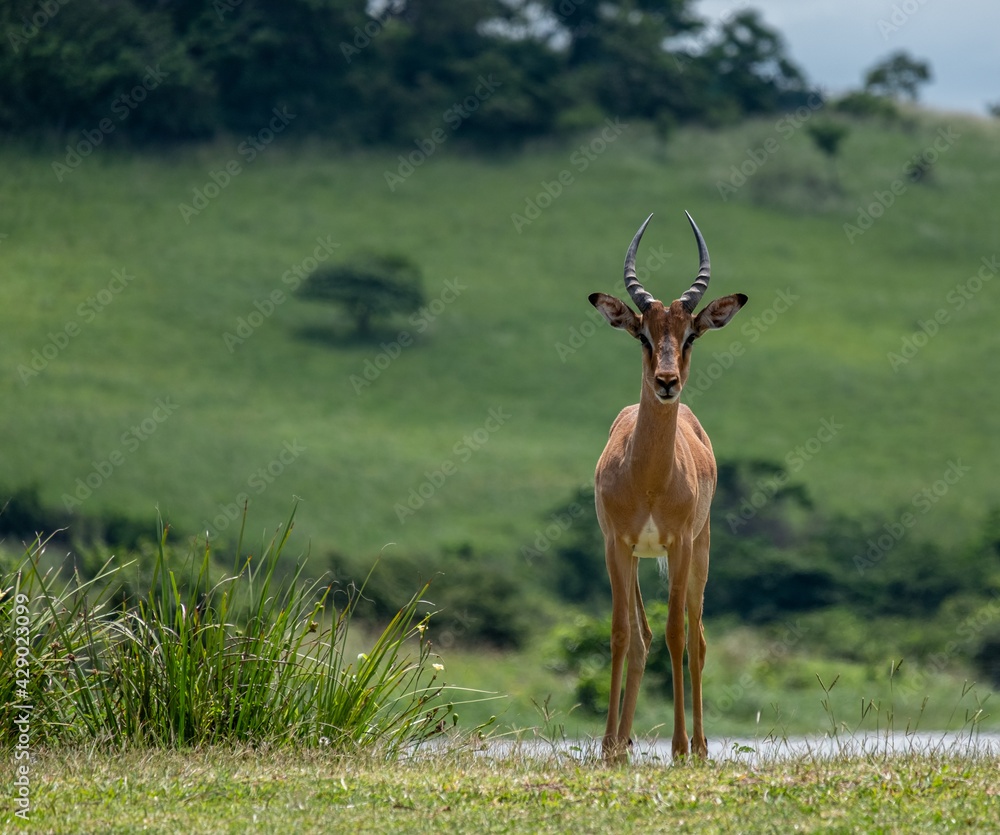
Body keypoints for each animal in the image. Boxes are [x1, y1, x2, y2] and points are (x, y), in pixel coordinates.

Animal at [589, 211, 747, 762]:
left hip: (700, 551)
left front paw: (678, 746)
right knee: (642, 637)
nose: (666, 381)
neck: (651, 482)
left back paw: (698, 746)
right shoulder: (616, 544)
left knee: (695, 637)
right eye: (642, 333)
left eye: (690, 334)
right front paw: (608, 746)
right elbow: (621, 634)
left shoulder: (678, 544)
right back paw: (622, 743)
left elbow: (678, 635)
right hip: (640, 557)